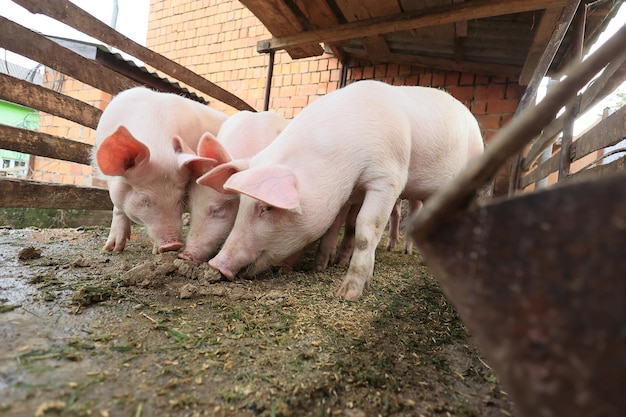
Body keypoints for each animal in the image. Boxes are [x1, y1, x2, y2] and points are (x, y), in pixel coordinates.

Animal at [91, 87, 228, 254]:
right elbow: (118, 209)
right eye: (144, 199)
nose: (173, 245)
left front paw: (155, 252)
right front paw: (112, 249)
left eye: (181, 197)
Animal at [202, 79, 480, 300]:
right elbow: (336, 225)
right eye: (242, 206)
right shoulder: (347, 193)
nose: (217, 263)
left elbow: (367, 229)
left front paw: (348, 294)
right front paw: (320, 266)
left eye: (267, 208)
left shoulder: (388, 178)